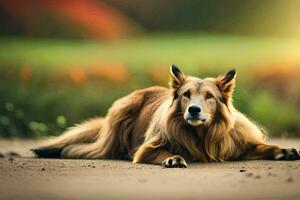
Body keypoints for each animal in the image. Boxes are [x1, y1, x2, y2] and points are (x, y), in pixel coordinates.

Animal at [31, 65, 298, 167]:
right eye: (186, 95)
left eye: (209, 96)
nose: (193, 110)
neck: (201, 134)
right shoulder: (148, 148)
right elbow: (162, 151)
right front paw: (173, 158)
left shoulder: (235, 145)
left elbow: (262, 147)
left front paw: (284, 150)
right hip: (121, 114)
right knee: (85, 149)